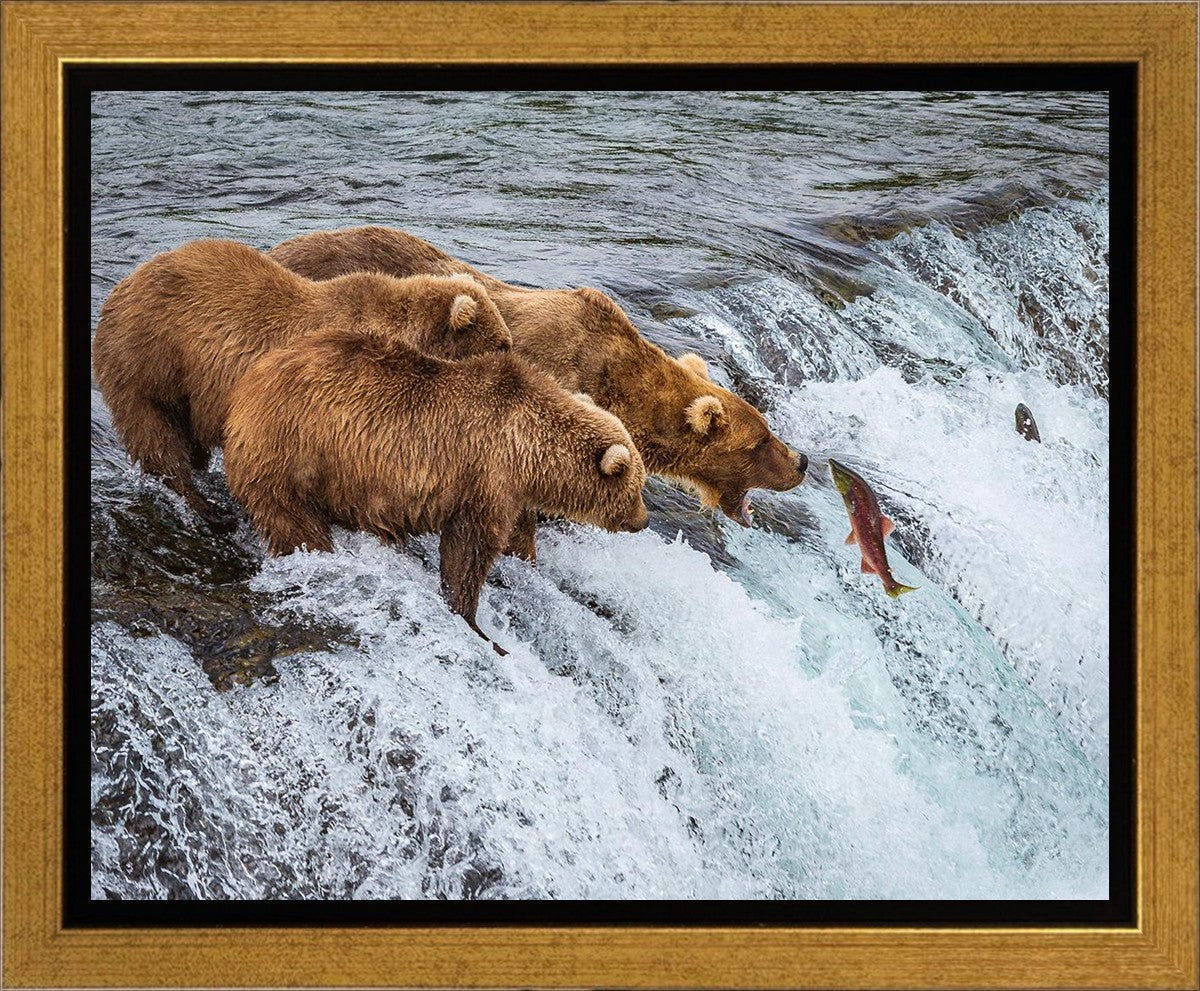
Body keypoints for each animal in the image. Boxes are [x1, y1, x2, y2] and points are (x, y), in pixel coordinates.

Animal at [92, 238, 512, 523]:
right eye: (502, 344)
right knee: (157, 435)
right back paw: (203, 505)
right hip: (150, 360)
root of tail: (120, 288)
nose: (514, 362)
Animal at [223, 328, 649, 654]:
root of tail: (246, 388)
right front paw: (475, 622)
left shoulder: (511, 492)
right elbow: (468, 550)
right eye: (636, 488)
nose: (643, 521)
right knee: (295, 522)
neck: (529, 449)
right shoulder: (485, 475)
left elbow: (515, 537)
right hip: (293, 452)